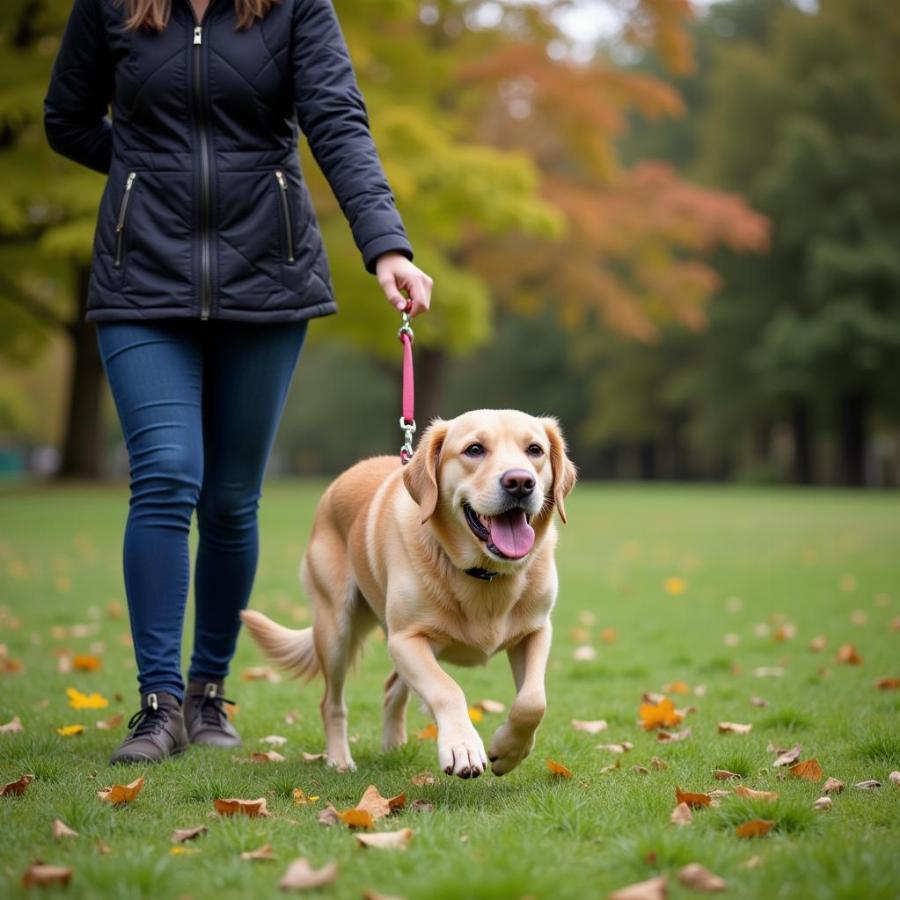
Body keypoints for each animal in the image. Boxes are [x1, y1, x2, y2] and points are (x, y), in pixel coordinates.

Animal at [239, 412, 576, 776]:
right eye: (474, 449)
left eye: (535, 450)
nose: (520, 482)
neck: (485, 574)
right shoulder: (406, 639)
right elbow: (447, 689)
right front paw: (462, 745)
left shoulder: (536, 632)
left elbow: (533, 701)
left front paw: (508, 750)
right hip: (337, 629)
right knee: (331, 702)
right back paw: (340, 759)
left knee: (391, 690)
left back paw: (394, 747)